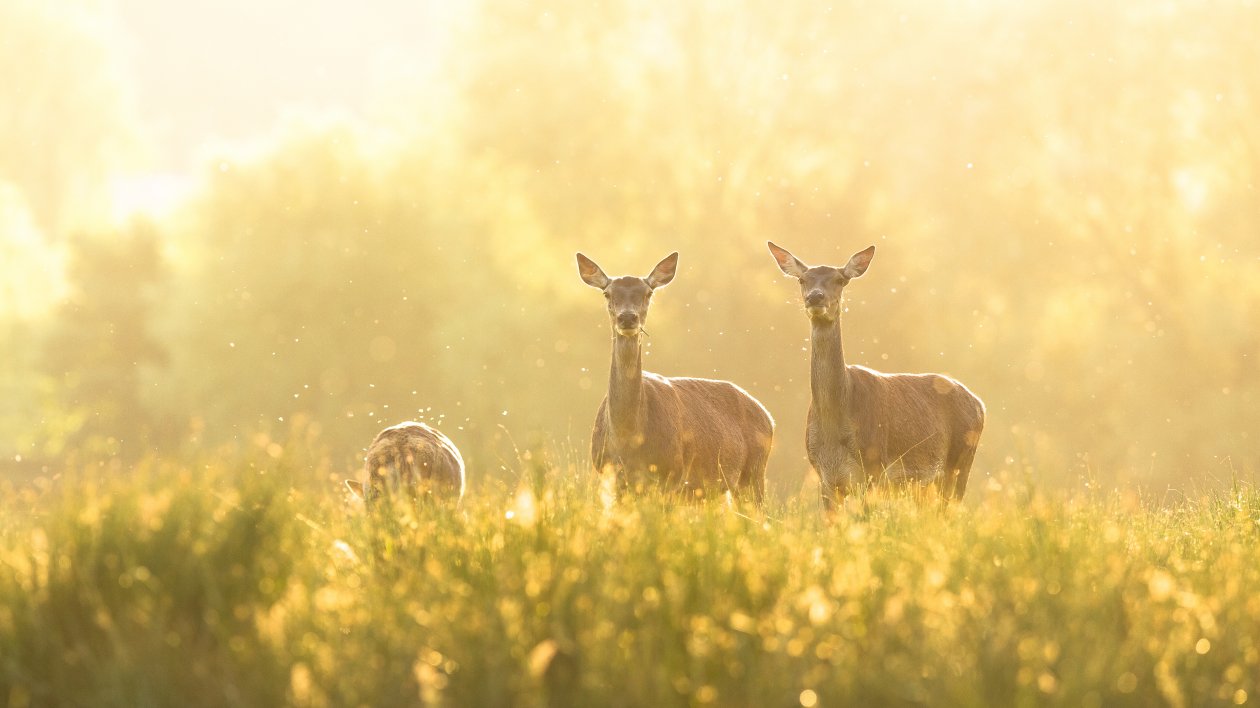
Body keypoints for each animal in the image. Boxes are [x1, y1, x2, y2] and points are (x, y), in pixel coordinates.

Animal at [577, 251, 775, 504]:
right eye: (607, 293)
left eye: (648, 293)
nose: (628, 318)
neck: (627, 438)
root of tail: (768, 417)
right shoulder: (611, 475)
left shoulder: (672, 475)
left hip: (754, 473)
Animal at [766, 242, 985, 510]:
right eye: (802, 279)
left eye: (840, 280)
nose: (815, 296)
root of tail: (980, 404)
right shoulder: (825, 478)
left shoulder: (873, 469)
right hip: (926, 485)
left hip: (959, 464)